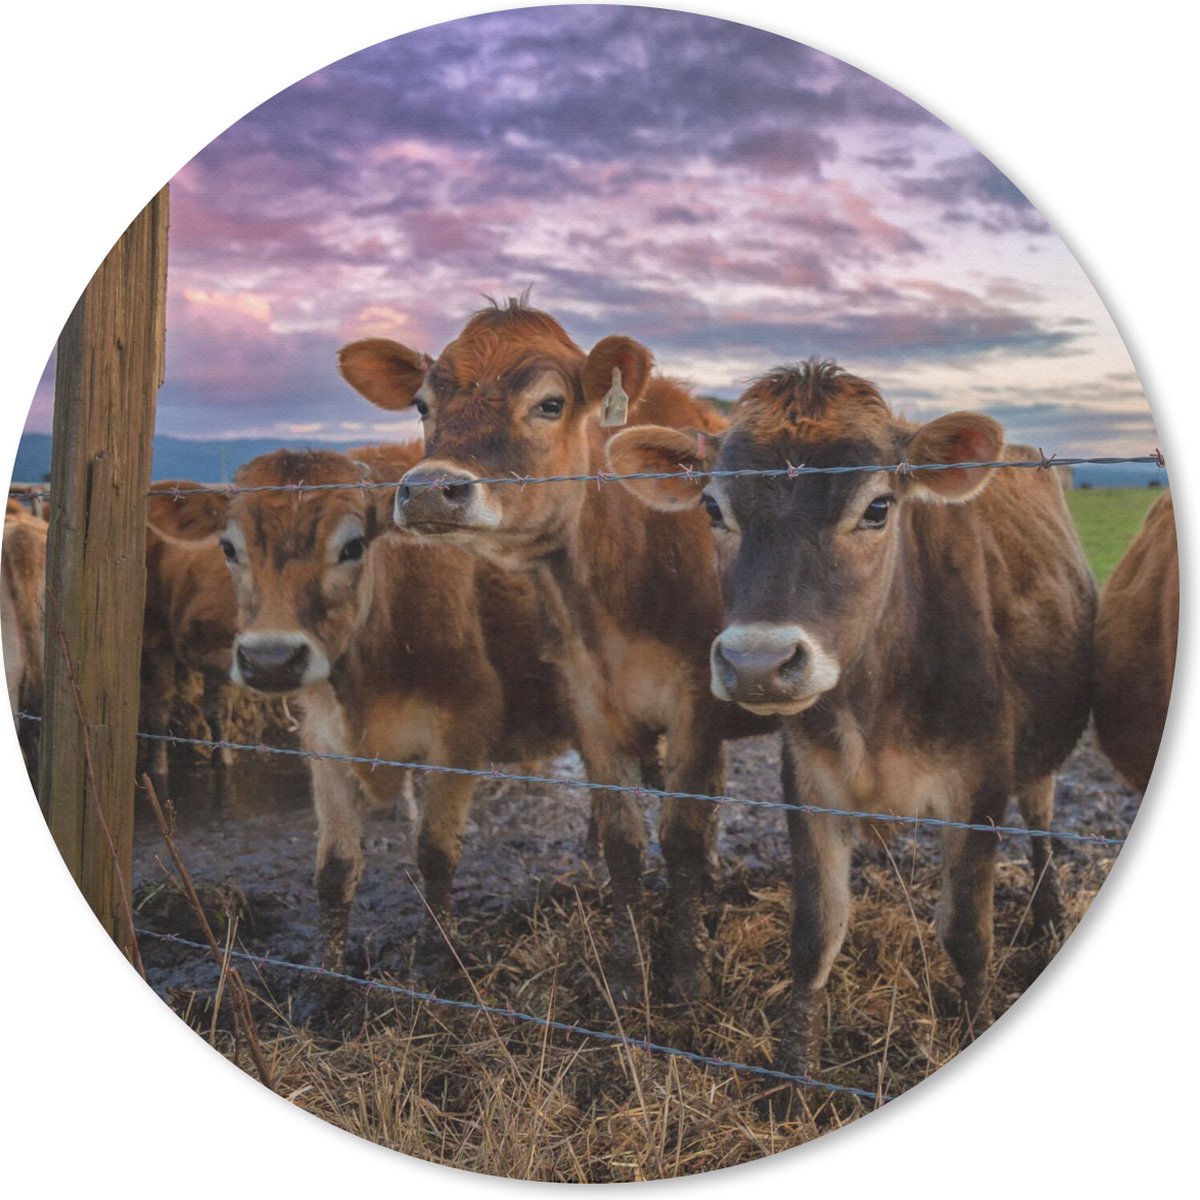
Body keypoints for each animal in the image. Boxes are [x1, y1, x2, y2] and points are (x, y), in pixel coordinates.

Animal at [337, 300, 768, 1005]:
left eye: (549, 403)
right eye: (423, 404)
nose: (428, 491)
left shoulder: (697, 702)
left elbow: (678, 836)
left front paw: (686, 972)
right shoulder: (585, 700)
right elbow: (623, 841)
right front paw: (625, 971)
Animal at [604, 360, 1096, 1078]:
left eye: (878, 507)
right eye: (713, 508)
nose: (757, 662)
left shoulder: (978, 786)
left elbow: (968, 936)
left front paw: (977, 1026)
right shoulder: (809, 783)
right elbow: (815, 934)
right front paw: (789, 1081)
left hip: (1036, 757)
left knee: (1041, 822)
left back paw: (1051, 916)